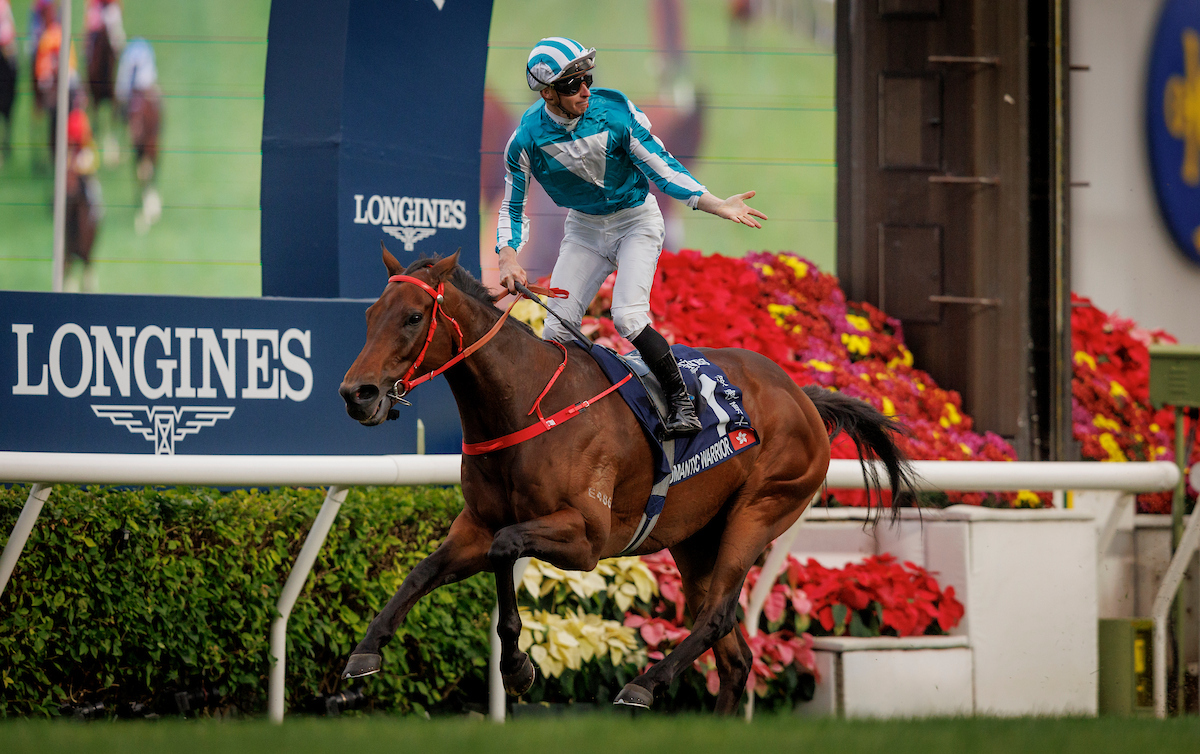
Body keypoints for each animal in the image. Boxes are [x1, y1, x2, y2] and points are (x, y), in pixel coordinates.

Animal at [333, 247, 912, 710]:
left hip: (761, 510)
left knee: (718, 616)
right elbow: (421, 572)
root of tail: (802, 396)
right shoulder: (474, 526)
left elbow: (506, 547)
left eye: (412, 317)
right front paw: (364, 653)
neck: (522, 405)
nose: (356, 393)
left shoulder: (586, 537)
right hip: (696, 538)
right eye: (369, 314)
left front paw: (517, 668)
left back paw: (643, 684)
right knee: (734, 657)